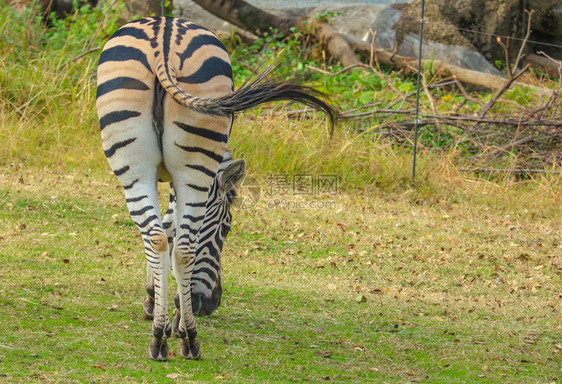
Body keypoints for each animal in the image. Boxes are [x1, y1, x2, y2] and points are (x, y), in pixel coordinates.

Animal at [95, 16, 332, 362]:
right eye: (227, 228)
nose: (211, 303)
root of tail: (163, 36)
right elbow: (172, 230)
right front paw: (169, 311)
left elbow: (166, 228)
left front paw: (157, 303)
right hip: (178, 163)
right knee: (179, 246)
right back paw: (181, 338)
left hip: (143, 163)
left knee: (161, 240)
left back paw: (168, 338)